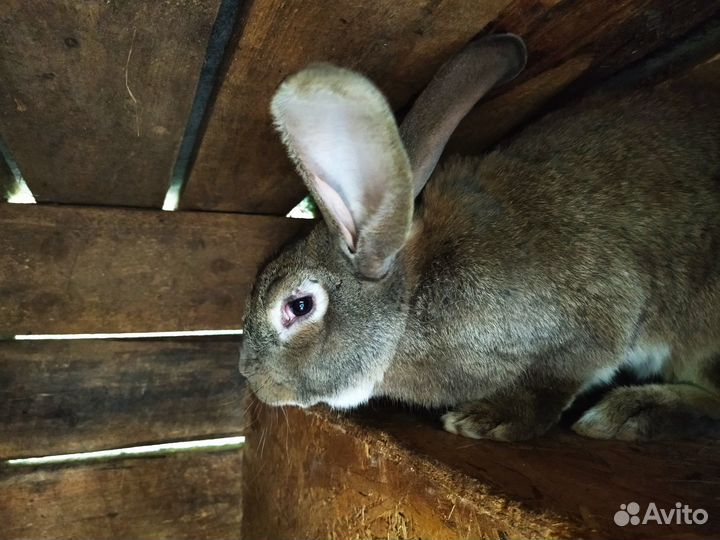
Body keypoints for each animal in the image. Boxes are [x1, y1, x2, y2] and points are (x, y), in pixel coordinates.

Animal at [238, 33, 720, 441]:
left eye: (299, 307)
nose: (250, 376)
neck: (411, 301)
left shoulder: (596, 315)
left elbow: (550, 384)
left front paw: (487, 420)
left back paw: (630, 413)